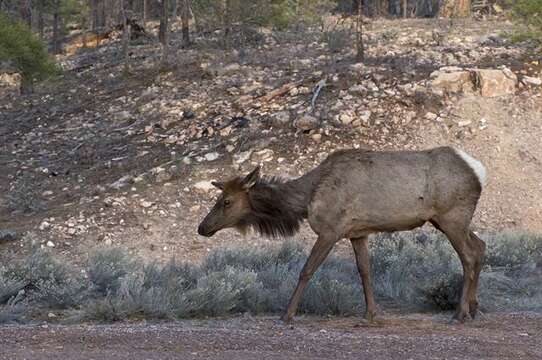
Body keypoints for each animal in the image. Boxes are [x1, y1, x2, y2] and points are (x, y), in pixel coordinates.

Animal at [199, 146, 488, 324]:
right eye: (219, 198)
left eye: (226, 201)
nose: (202, 227)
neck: (306, 201)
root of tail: (479, 171)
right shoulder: (357, 233)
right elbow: (365, 271)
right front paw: (371, 313)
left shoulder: (331, 229)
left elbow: (307, 270)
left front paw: (287, 314)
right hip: (447, 221)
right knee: (481, 246)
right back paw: (474, 308)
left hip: (452, 216)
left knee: (468, 256)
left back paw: (460, 313)